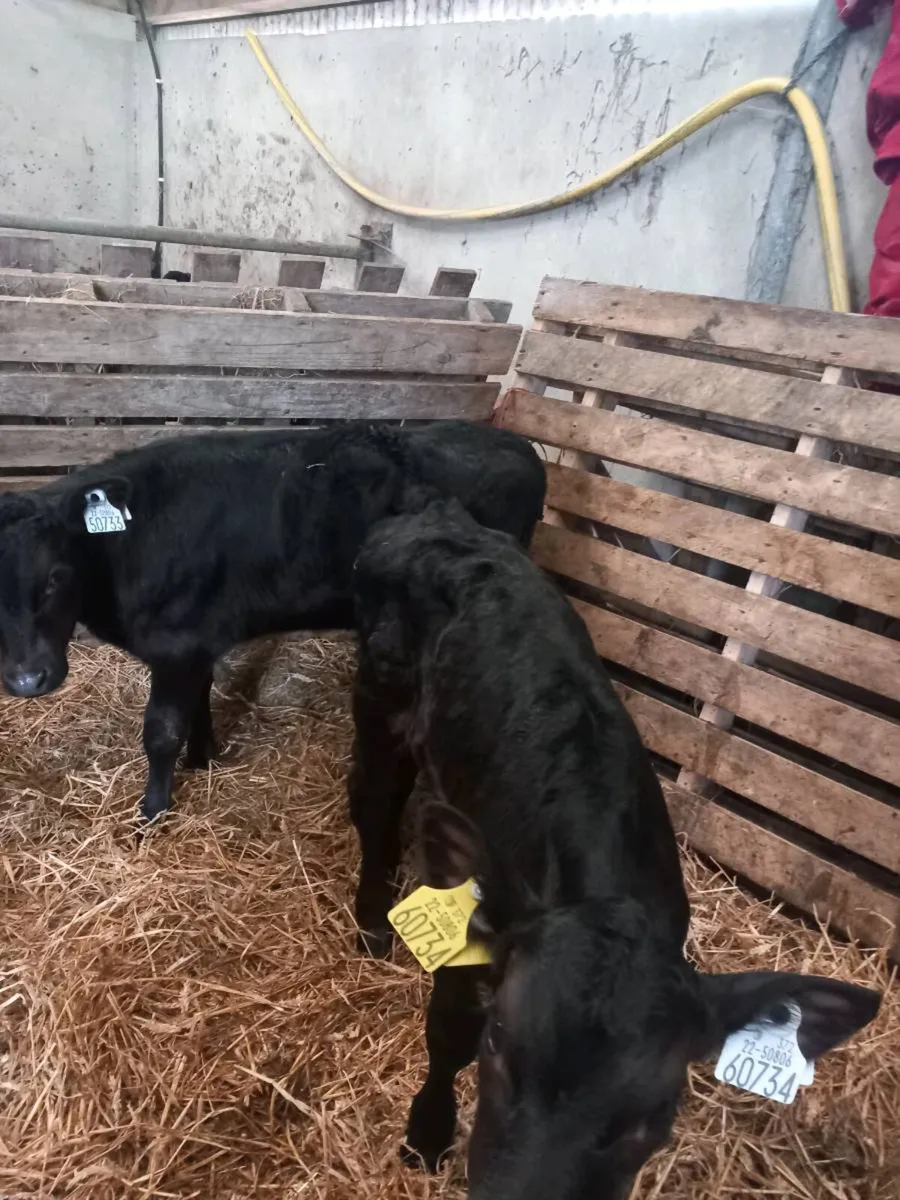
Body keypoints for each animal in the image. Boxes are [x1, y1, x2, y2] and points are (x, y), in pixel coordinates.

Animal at [0, 422, 545, 825]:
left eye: (56, 576)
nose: (27, 680)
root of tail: (518, 444)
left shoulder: (176, 647)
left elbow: (161, 731)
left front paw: (153, 811)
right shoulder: (197, 642)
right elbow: (200, 702)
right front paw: (204, 757)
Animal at [349, 499, 882, 1200]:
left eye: (653, 1116)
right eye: (498, 1046)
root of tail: (437, 514)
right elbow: (447, 1034)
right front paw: (426, 1136)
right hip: (378, 701)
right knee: (373, 808)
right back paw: (369, 919)